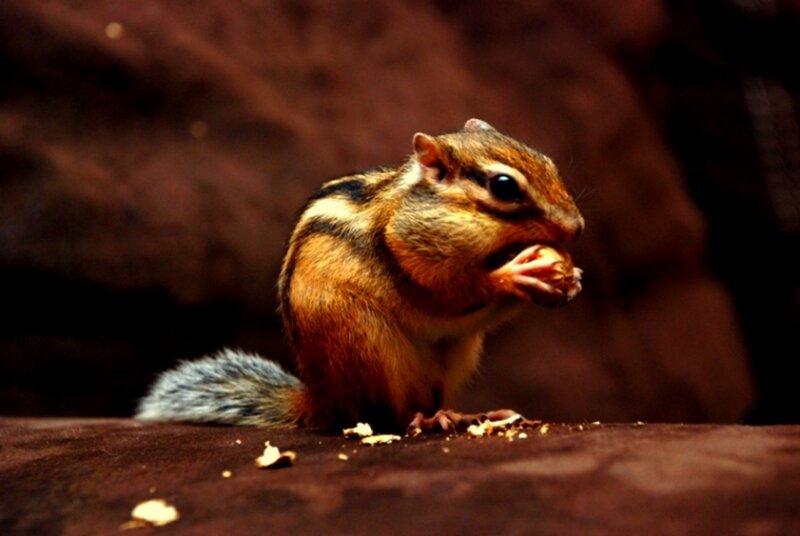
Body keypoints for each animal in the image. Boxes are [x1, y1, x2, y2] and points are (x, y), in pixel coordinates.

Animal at [135, 118, 584, 433]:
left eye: (548, 163)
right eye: (504, 186)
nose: (576, 227)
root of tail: (323, 399)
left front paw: (572, 277)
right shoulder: (411, 259)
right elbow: (451, 295)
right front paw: (517, 274)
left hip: (453, 357)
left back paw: (466, 415)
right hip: (366, 345)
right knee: (386, 415)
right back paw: (425, 421)